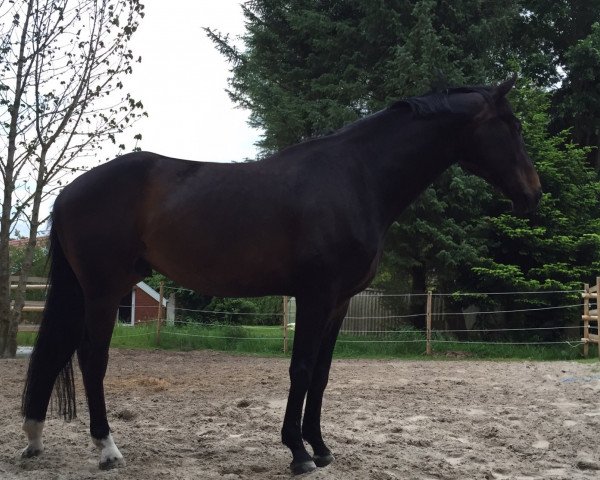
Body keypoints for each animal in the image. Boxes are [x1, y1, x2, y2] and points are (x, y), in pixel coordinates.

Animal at [22, 77, 540, 474]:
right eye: (511, 126)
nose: (533, 194)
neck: (356, 178)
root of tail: (69, 190)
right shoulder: (315, 296)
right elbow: (302, 368)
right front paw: (298, 452)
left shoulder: (339, 302)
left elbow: (323, 375)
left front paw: (322, 447)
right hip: (104, 289)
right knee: (92, 357)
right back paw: (107, 450)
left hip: (89, 289)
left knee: (59, 352)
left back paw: (34, 438)